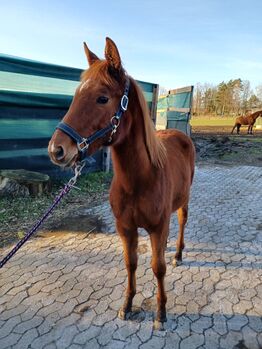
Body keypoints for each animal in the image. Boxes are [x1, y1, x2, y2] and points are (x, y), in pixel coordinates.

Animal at [48, 38, 194, 328]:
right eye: (76, 95)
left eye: (102, 98)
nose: (56, 150)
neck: (138, 181)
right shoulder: (125, 228)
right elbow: (131, 263)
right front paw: (127, 305)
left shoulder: (157, 226)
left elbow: (158, 268)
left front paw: (161, 312)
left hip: (184, 200)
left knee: (182, 222)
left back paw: (178, 254)